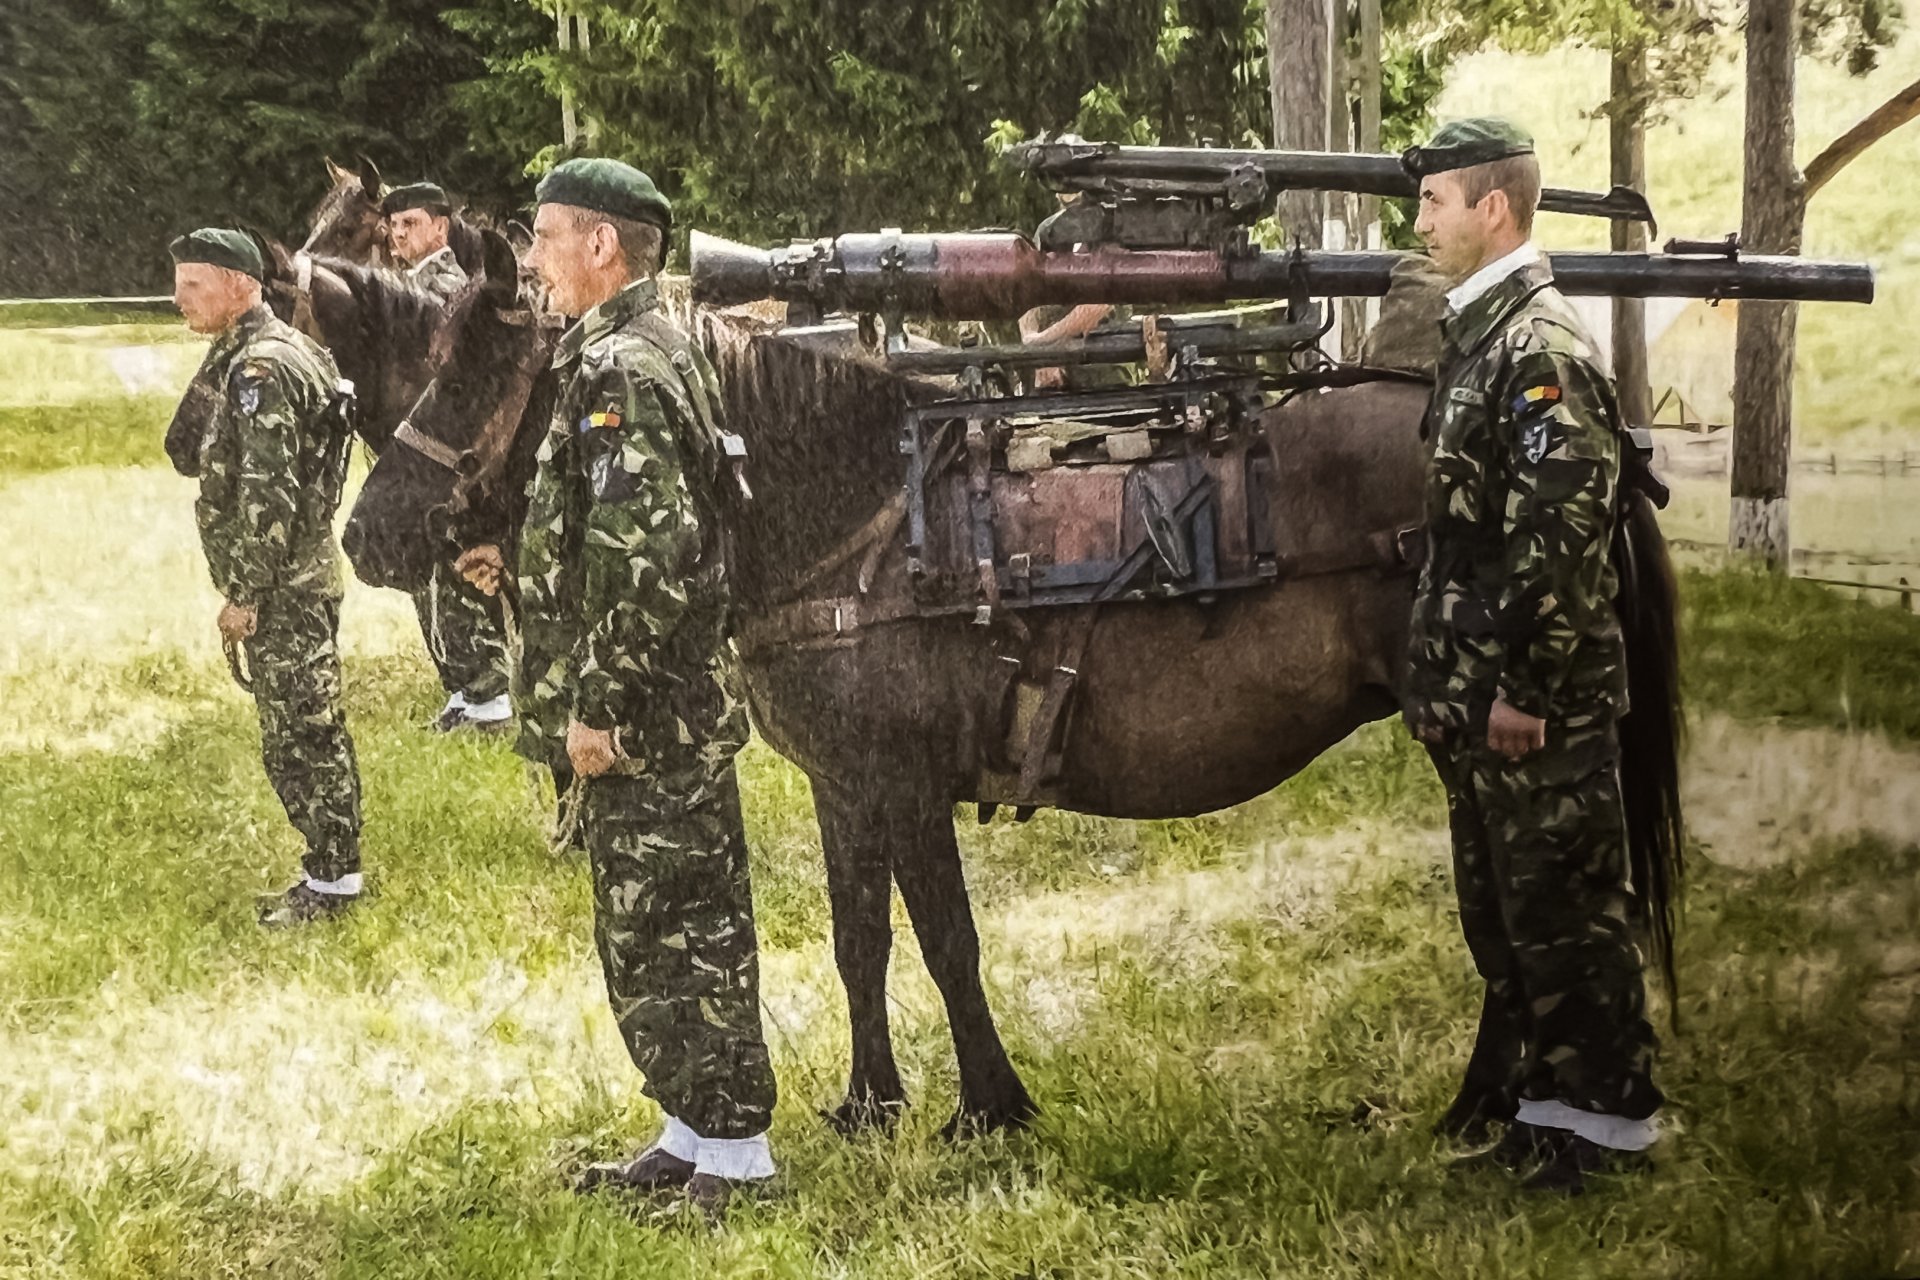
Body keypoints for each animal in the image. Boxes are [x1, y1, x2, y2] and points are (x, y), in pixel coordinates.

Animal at [345, 242, 1681, 1143]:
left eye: (475, 370)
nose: (368, 534)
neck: (851, 521)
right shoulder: (847, 785)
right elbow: (861, 940)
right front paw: (869, 1103)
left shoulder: (904, 781)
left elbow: (947, 939)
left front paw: (990, 1108)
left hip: (1481, 739)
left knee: (1519, 902)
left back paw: (1488, 1110)